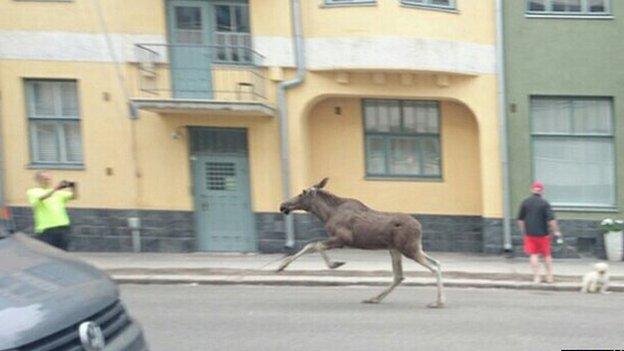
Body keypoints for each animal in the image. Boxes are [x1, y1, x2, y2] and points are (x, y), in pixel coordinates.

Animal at [276, 179, 444, 308]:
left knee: (433, 267)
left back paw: (438, 302)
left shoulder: (343, 239)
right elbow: (312, 246)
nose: (283, 205)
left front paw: (334, 264)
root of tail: (420, 227)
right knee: (406, 274)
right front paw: (281, 266)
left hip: (408, 249)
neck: (326, 215)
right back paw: (374, 298)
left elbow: (314, 245)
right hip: (400, 249)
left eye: (302, 193)